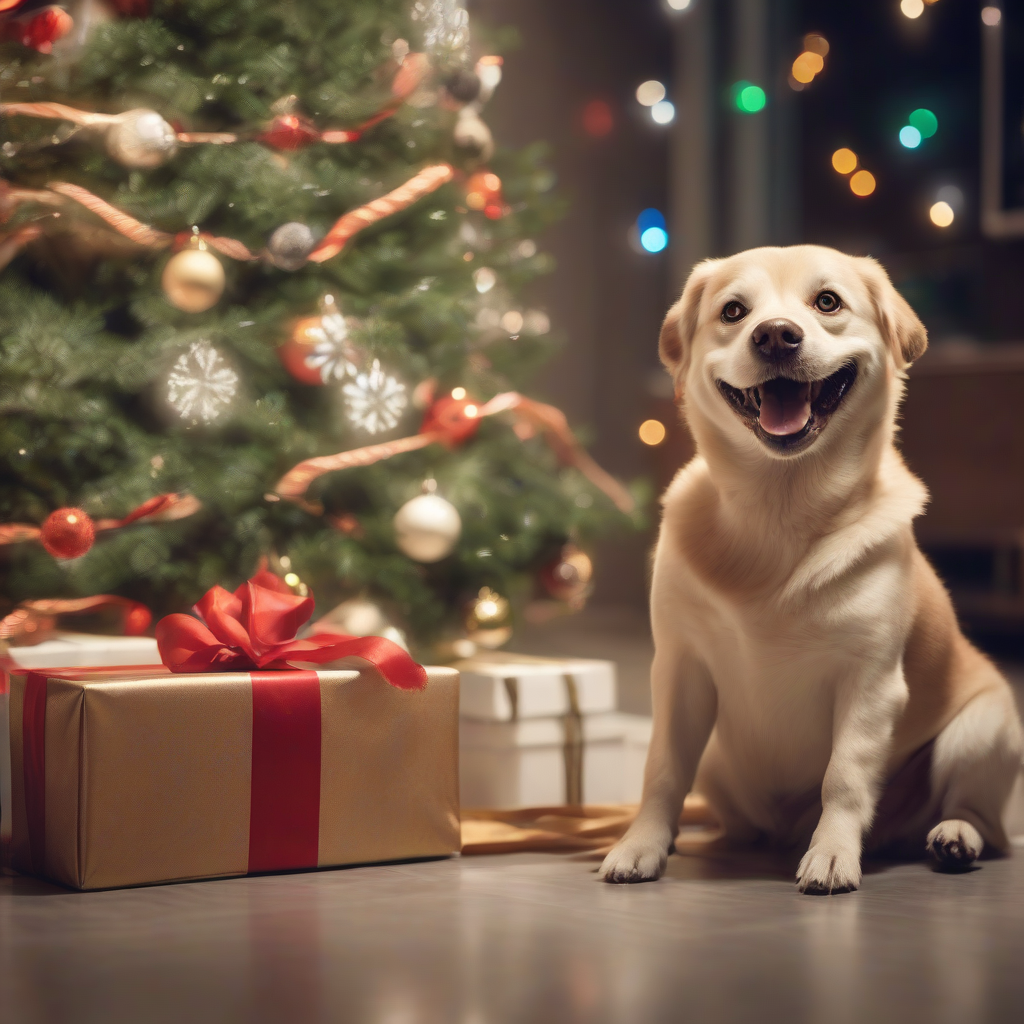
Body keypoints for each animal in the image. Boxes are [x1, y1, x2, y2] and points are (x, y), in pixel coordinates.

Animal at [598, 243, 1024, 892]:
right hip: (718, 761)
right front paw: (641, 843)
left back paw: (954, 836)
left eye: (827, 302)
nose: (775, 335)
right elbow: (663, 769)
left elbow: (843, 778)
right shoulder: (679, 671)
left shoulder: (870, 683)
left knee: (984, 821)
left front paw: (831, 854)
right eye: (734, 310)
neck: (779, 512)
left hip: (982, 732)